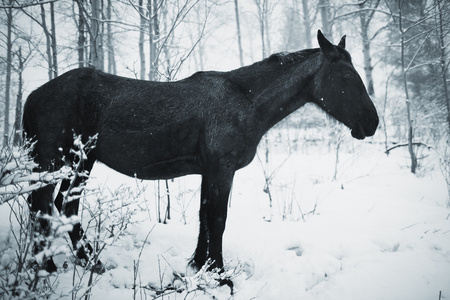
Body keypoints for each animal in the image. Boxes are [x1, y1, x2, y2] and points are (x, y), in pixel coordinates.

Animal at [22, 31, 378, 274]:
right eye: (347, 76)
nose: (372, 122)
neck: (246, 101)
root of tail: (35, 94)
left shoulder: (210, 170)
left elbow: (204, 216)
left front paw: (198, 263)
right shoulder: (221, 168)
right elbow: (217, 218)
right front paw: (219, 272)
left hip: (79, 161)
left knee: (62, 205)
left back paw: (86, 261)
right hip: (56, 160)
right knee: (44, 204)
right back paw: (48, 266)